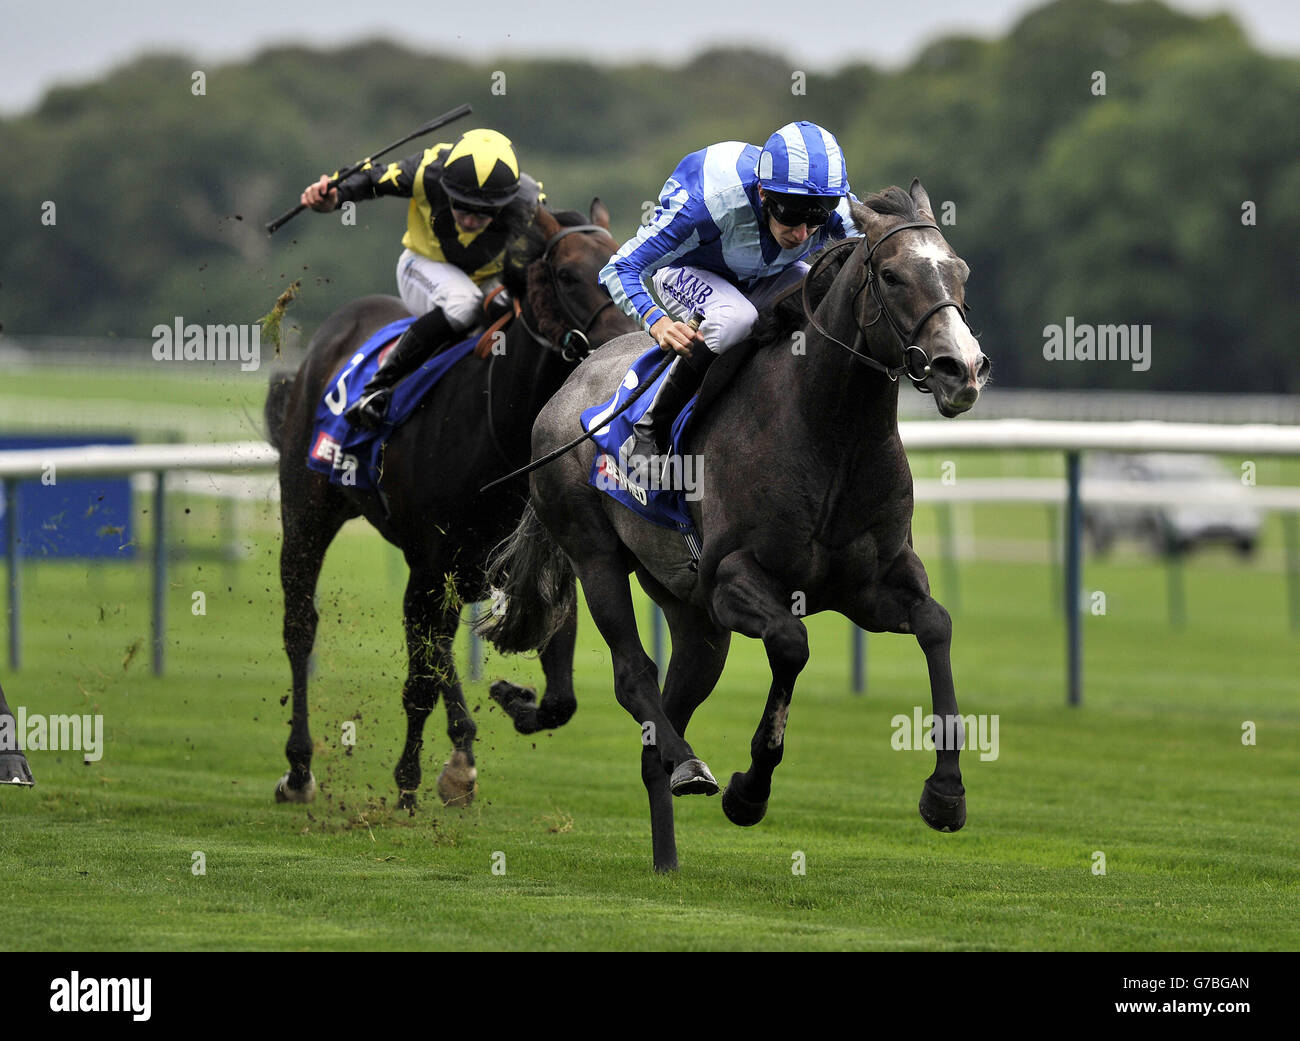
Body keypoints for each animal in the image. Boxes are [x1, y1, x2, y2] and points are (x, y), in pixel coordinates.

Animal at [262, 201, 634, 805]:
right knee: (301, 627)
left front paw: (511, 704)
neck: (498, 429)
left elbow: (558, 699)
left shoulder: (531, 563)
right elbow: (420, 682)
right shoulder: (432, 564)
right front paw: (413, 782)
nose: (624, 344)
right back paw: (298, 769)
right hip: (308, 510)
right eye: (566, 274)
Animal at [483, 180, 987, 868]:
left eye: (959, 271)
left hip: (691, 613)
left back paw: (668, 852)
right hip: (596, 555)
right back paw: (690, 766)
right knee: (633, 675)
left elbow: (936, 625)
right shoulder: (731, 580)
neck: (831, 431)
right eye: (891, 274)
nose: (961, 369)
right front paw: (750, 791)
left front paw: (946, 793)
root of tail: (565, 391)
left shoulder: (872, 583)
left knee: (662, 722)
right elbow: (792, 645)